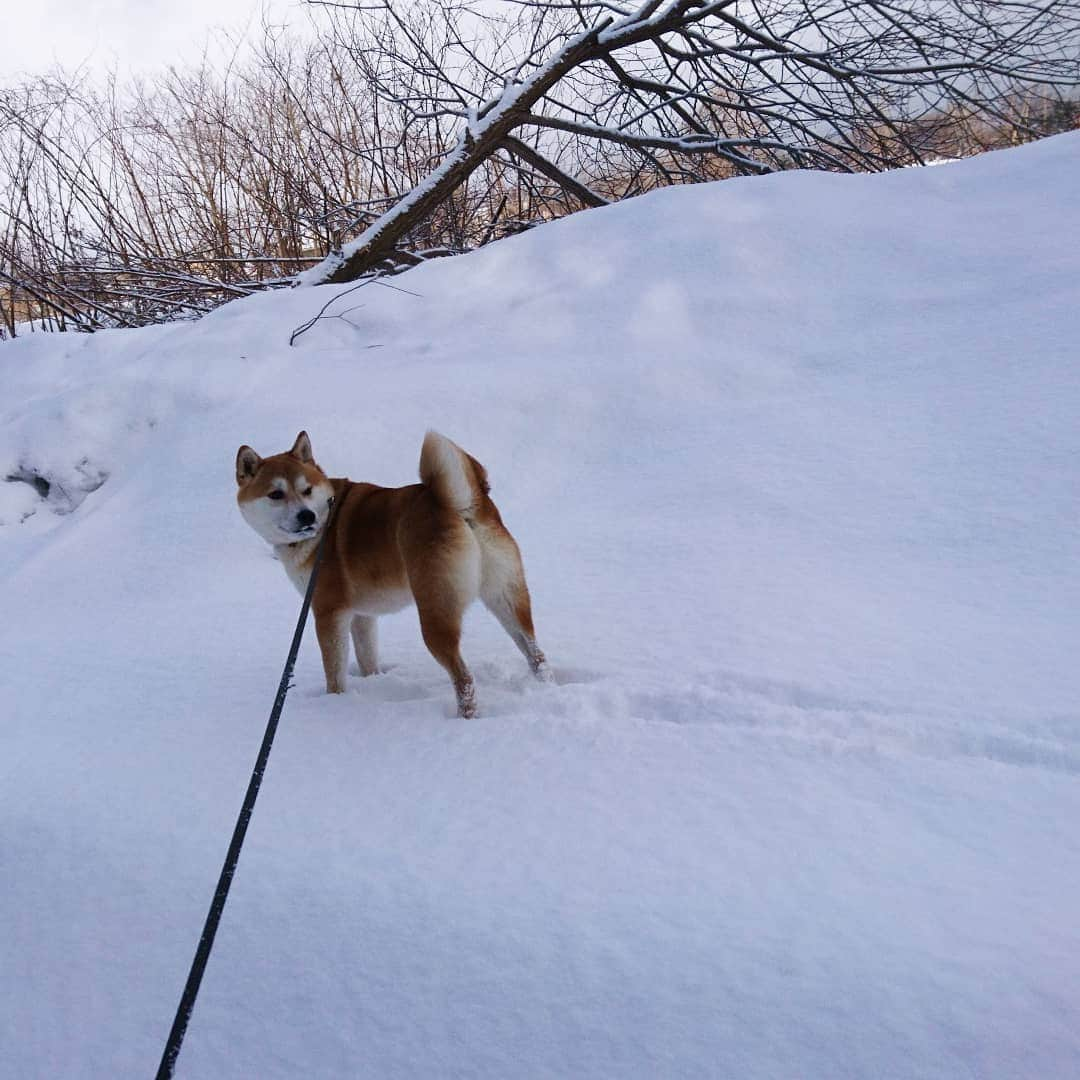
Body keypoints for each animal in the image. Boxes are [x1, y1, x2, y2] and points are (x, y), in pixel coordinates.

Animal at [233, 429, 552, 717]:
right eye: (276, 494)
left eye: (307, 490)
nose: (306, 516)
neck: (324, 523)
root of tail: (459, 506)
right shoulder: (362, 615)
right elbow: (367, 658)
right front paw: (374, 683)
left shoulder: (329, 612)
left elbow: (334, 671)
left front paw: (335, 702)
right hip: (506, 597)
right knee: (535, 653)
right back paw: (545, 685)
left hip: (435, 614)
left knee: (464, 678)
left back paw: (466, 716)